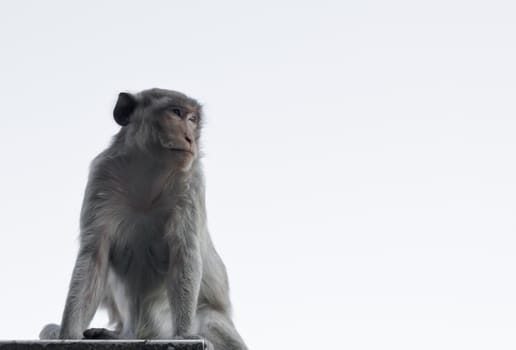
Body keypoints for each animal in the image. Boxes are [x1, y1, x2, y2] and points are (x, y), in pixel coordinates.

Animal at [39, 88, 248, 350]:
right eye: (176, 113)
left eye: (192, 119)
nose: (190, 137)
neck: (149, 172)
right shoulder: (102, 175)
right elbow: (94, 255)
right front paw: (68, 334)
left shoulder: (191, 182)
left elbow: (184, 252)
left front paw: (184, 334)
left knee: (208, 318)